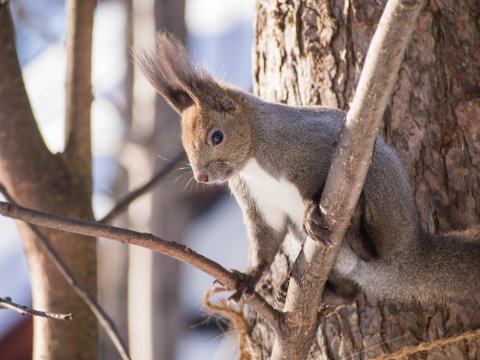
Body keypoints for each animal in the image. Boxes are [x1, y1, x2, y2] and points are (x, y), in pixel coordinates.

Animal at [137, 33, 480, 308]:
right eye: (184, 141)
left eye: (216, 137)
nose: (202, 178)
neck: (253, 160)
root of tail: (409, 254)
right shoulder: (258, 203)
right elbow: (266, 238)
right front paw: (249, 278)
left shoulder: (310, 150)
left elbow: (312, 184)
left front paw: (310, 211)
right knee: (352, 294)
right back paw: (317, 290)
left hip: (382, 189)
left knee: (375, 249)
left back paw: (358, 230)